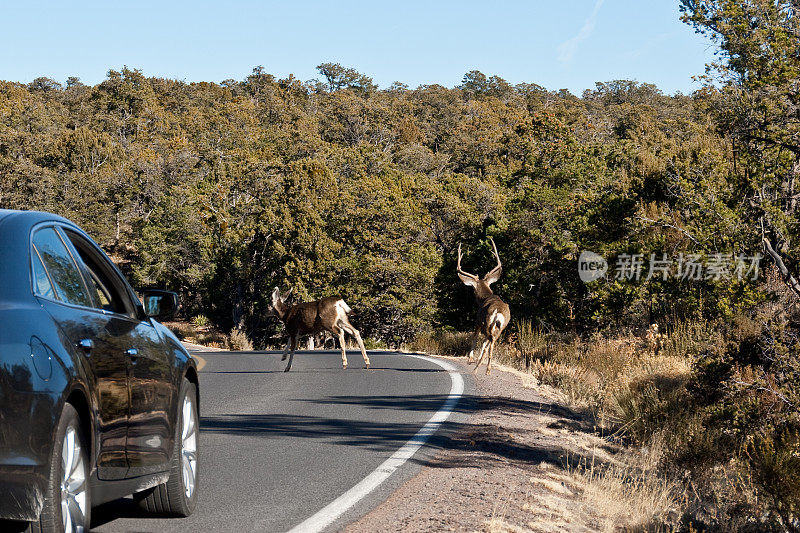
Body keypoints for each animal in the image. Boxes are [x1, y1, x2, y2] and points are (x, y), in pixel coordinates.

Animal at [460, 237, 510, 374]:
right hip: (501, 327)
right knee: (491, 342)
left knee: (488, 342)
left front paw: (470, 358)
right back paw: (485, 368)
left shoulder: (478, 320)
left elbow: (474, 337)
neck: (485, 298)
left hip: (487, 323)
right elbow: (483, 343)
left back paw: (480, 368)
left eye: (473, 289)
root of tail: (498, 312)